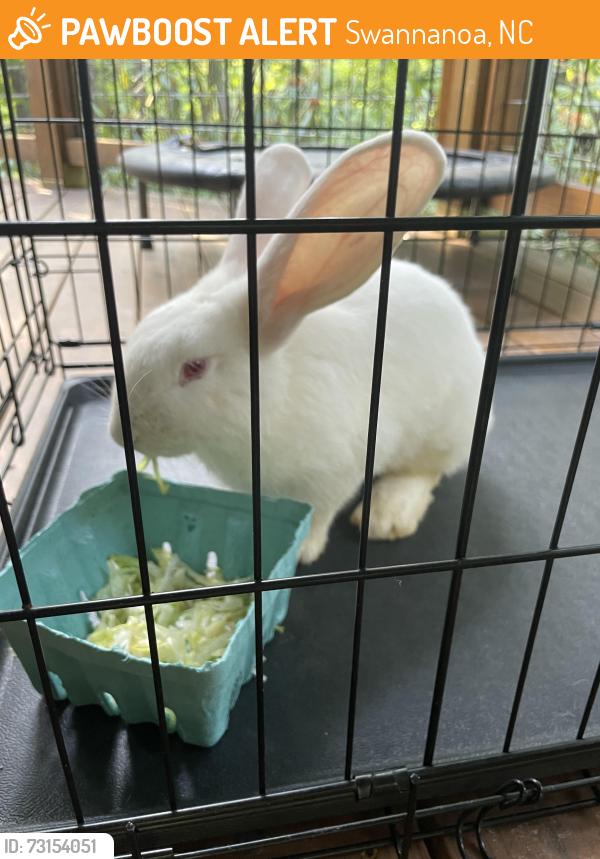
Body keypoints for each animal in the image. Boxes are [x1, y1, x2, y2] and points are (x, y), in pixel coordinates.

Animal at [109, 132, 485, 564]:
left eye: (194, 367)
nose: (119, 434)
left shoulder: (335, 471)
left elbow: (318, 511)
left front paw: (303, 549)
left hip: (442, 431)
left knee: (427, 470)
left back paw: (387, 516)